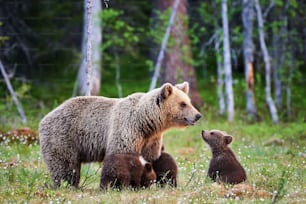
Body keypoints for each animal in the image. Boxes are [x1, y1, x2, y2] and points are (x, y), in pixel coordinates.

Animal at [38, 81, 201, 188]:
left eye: (188, 101)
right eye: (182, 104)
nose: (198, 115)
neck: (146, 122)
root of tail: (45, 118)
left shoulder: (151, 139)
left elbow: (151, 158)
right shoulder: (127, 129)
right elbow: (121, 156)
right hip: (63, 135)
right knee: (64, 164)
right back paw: (66, 184)